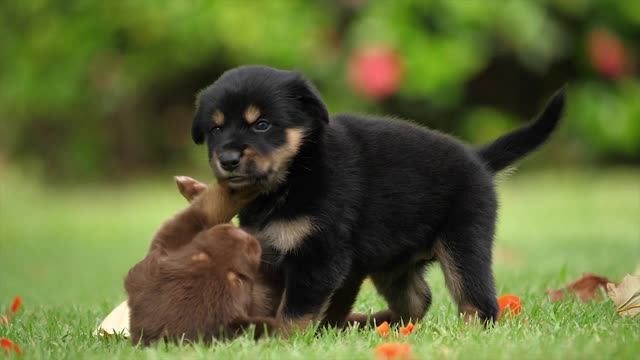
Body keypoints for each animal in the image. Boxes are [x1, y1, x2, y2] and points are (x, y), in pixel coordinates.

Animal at [191, 65, 564, 330]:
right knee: (418, 299)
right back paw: (377, 324)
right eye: (215, 129)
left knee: (479, 302)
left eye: (263, 125)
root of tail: (478, 159)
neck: (296, 174)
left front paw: (282, 341)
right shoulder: (269, 254)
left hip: (464, 243)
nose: (228, 159)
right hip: (392, 263)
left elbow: (294, 312)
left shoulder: (319, 257)